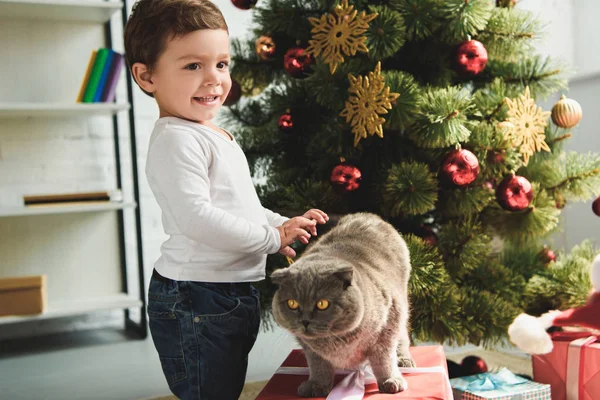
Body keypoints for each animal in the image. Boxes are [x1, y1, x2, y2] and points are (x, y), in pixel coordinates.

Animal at [270, 212, 414, 396]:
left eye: (322, 304)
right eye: (292, 303)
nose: (305, 321)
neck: (335, 341)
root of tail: (366, 214)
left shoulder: (387, 327)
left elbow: (383, 359)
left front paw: (390, 381)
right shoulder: (310, 349)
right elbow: (318, 366)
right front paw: (316, 386)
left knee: (402, 335)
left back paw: (404, 360)